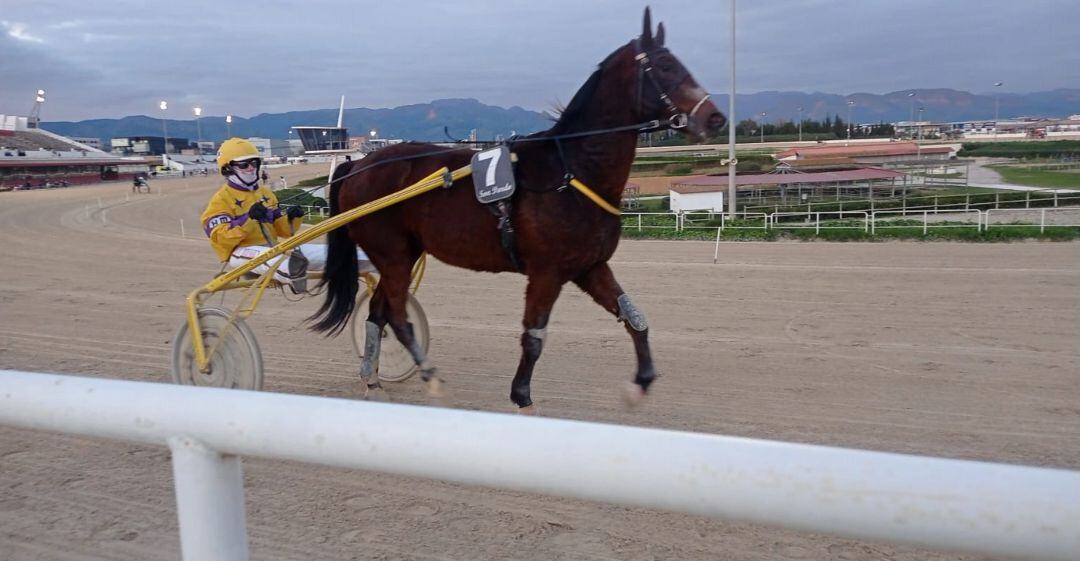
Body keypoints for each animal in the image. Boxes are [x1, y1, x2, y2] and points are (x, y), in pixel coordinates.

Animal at [313, 7, 725, 412]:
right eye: (666, 66)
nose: (715, 117)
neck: (571, 168)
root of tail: (358, 165)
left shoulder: (590, 266)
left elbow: (635, 318)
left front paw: (640, 382)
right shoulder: (546, 272)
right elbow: (534, 338)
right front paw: (522, 397)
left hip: (402, 254)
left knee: (377, 312)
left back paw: (373, 381)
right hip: (394, 255)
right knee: (397, 316)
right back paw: (430, 379)